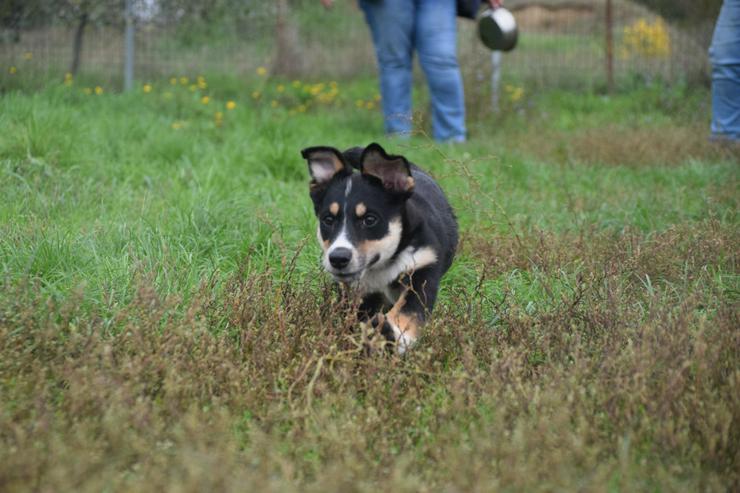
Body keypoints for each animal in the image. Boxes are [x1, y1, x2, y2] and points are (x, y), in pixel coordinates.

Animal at [300, 142, 456, 354]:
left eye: (370, 219)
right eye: (328, 220)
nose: (338, 258)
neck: (382, 267)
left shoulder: (423, 267)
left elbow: (410, 310)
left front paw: (392, 332)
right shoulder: (359, 293)